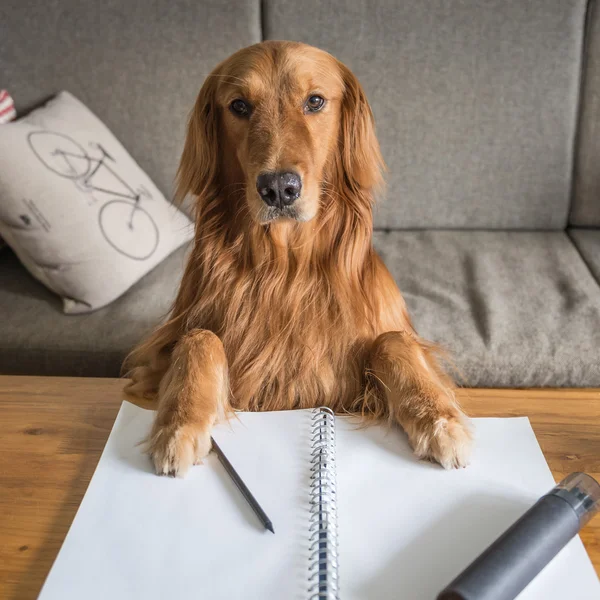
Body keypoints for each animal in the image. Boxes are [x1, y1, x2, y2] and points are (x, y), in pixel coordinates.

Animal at [124, 39, 472, 476]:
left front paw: (440, 419)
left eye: (315, 101)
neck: (285, 266)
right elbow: (199, 338)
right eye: (239, 106)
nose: (278, 188)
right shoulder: (158, 354)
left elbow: (393, 341)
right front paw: (178, 426)